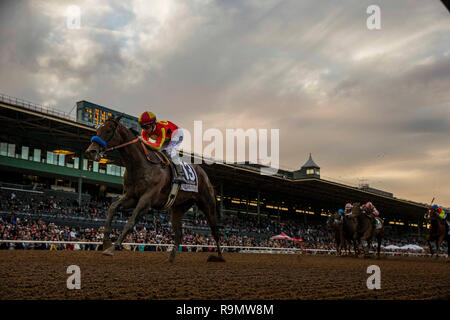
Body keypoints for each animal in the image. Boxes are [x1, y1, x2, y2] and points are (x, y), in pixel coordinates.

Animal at [84, 115, 225, 262]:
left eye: (108, 130)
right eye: (98, 130)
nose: (90, 152)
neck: (141, 165)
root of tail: (206, 176)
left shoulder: (146, 200)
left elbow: (130, 222)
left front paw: (112, 248)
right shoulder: (131, 197)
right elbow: (112, 208)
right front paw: (106, 243)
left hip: (208, 205)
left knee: (215, 231)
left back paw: (219, 257)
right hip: (179, 208)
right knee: (179, 233)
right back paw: (171, 258)